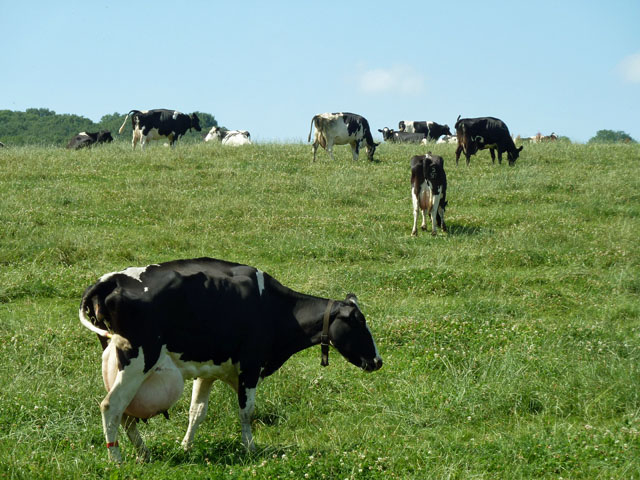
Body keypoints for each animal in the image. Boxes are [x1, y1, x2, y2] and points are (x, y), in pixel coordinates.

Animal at [79, 256, 380, 464]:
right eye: (358, 322)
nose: (378, 361)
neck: (273, 307)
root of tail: (108, 281)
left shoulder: (209, 370)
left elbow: (197, 412)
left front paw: (186, 446)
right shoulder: (250, 366)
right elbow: (246, 412)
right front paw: (251, 449)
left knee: (126, 415)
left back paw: (144, 453)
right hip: (138, 360)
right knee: (112, 406)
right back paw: (117, 460)